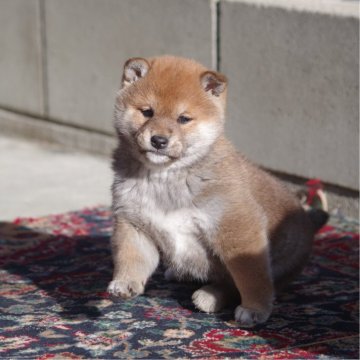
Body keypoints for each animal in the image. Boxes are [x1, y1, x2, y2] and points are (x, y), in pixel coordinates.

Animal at [106, 55, 326, 326]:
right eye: (147, 112)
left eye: (183, 119)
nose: (158, 140)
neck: (166, 178)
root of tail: (308, 223)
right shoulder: (134, 222)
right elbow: (131, 257)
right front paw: (124, 283)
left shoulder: (237, 228)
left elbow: (251, 276)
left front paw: (255, 308)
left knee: (238, 283)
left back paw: (209, 296)